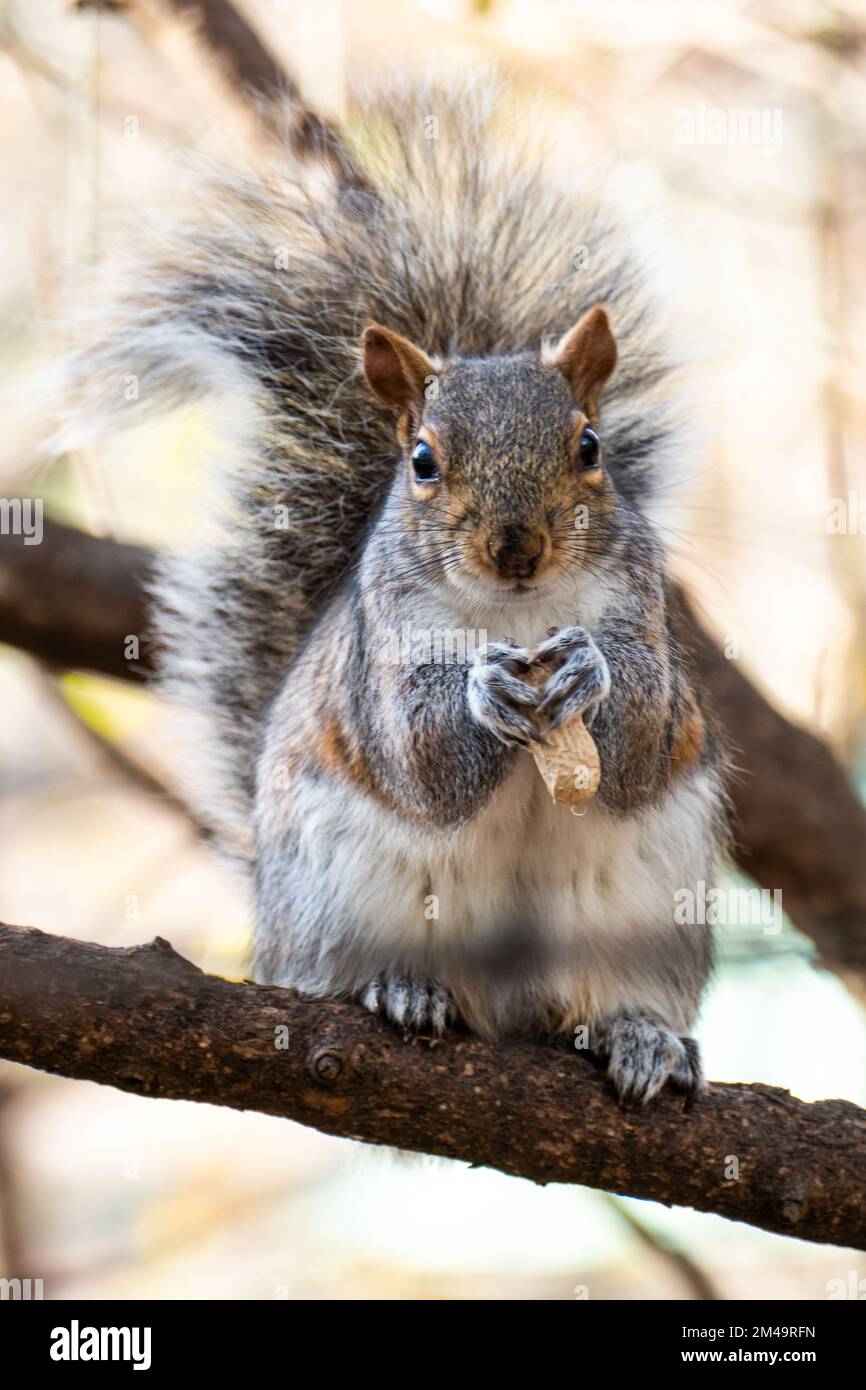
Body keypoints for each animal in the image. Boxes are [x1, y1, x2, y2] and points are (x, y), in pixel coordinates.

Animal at [69, 78, 733, 1106]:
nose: (516, 546)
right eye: (421, 461)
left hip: (649, 911)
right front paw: (482, 693)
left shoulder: (643, 614)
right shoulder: (384, 649)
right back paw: (400, 990)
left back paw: (640, 1036)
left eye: (589, 446)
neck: (517, 614)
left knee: (608, 996)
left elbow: (640, 742)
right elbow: (419, 756)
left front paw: (587, 675)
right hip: (334, 896)